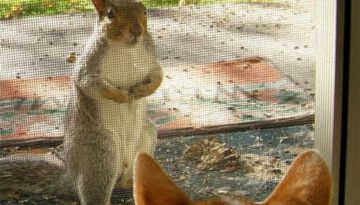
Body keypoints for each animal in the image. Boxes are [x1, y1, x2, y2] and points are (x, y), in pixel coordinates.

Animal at [0, 0, 162, 204]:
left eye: (145, 11)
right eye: (110, 14)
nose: (137, 30)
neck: (127, 48)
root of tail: (72, 175)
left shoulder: (151, 59)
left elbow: (157, 77)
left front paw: (141, 91)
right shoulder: (88, 67)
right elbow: (91, 85)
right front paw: (121, 96)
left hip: (146, 138)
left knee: (127, 177)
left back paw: (133, 182)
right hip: (100, 155)